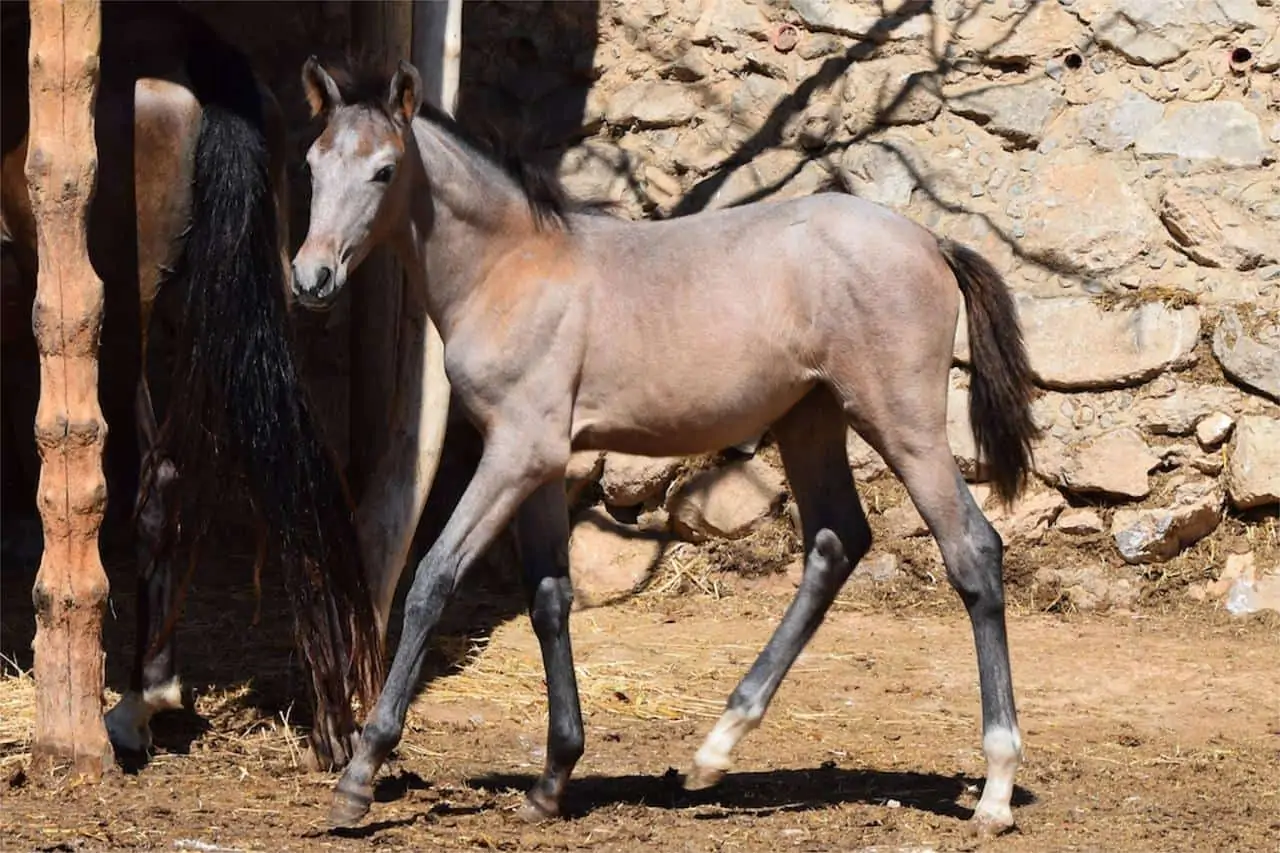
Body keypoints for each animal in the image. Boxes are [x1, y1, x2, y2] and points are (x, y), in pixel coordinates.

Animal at [0, 3, 384, 768]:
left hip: (124, 315)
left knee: (155, 478)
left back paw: (138, 701)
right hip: (269, 289)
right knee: (275, 470)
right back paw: (330, 721)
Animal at [296, 61, 1039, 835]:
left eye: (384, 170)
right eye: (312, 165)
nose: (311, 279)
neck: (510, 267)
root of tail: (930, 240)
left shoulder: (514, 454)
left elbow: (432, 580)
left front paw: (358, 776)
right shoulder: (542, 465)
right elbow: (549, 599)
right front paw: (552, 780)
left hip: (902, 421)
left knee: (972, 549)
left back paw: (995, 788)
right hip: (810, 418)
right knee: (837, 542)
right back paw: (715, 750)